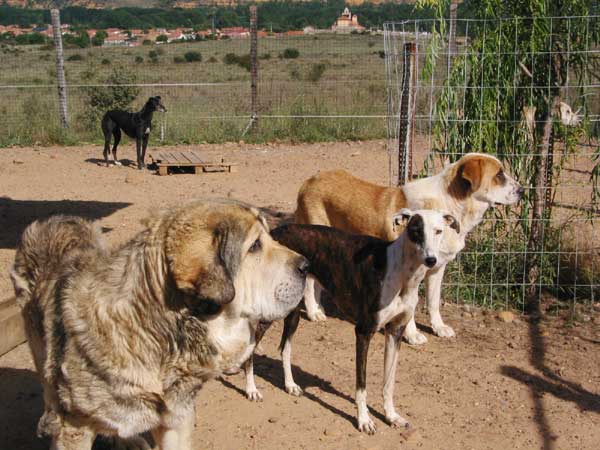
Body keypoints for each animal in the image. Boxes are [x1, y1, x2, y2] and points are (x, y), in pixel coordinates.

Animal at [9, 199, 310, 450]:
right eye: (255, 245)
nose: (307, 266)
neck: (154, 333)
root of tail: (57, 218)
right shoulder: (75, 429)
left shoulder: (177, 420)